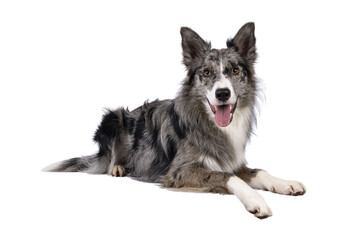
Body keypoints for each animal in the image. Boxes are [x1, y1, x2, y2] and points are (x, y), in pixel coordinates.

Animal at [43, 23, 306, 219]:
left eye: (234, 70)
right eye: (206, 73)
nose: (222, 93)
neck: (211, 124)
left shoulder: (233, 161)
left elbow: (259, 171)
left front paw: (285, 183)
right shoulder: (178, 172)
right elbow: (226, 177)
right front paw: (256, 200)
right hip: (113, 117)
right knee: (109, 156)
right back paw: (118, 167)